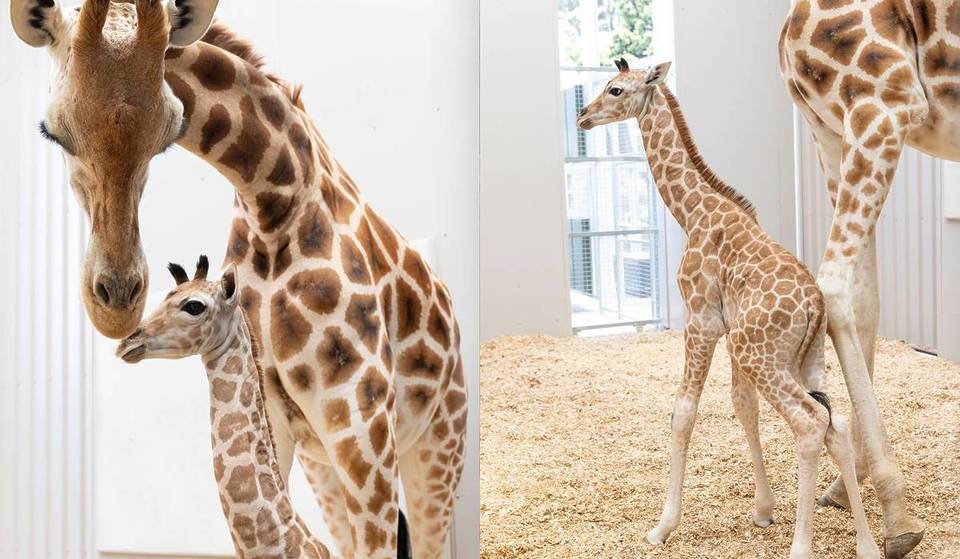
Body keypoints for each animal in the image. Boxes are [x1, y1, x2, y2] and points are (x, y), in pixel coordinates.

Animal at [576, 59, 882, 559]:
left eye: (616, 89)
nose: (583, 117)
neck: (691, 211)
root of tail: (815, 308)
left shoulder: (701, 321)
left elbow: (683, 412)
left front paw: (663, 527)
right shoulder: (729, 327)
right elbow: (744, 407)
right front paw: (762, 510)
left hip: (761, 356)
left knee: (809, 423)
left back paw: (801, 547)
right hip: (805, 359)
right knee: (833, 424)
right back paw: (868, 545)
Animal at [777, 2, 955, 556]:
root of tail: (786, 36)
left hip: (834, 132)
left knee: (862, 298)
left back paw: (845, 484)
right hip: (884, 105)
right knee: (835, 282)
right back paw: (897, 512)